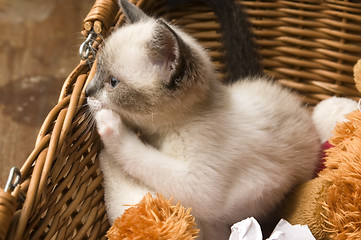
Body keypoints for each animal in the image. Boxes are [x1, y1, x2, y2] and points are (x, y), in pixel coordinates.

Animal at [86, 0, 320, 239]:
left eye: (113, 82)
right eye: (98, 71)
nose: (86, 91)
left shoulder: (198, 185)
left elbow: (141, 158)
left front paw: (108, 123)